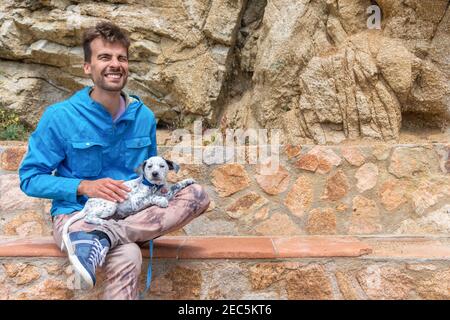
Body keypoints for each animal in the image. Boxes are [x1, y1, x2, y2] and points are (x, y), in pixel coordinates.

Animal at [60, 156, 194, 251]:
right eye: (149, 166)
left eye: (162, 166)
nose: (155, 173)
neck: (154, 186)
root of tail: (87, 204)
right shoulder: (136, 201)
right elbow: (151, 197)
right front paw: (161, 201)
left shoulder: (168, 192)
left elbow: (175, 186)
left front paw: (188, 180)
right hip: (111, 205)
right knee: (88, 217)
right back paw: (103, 222)